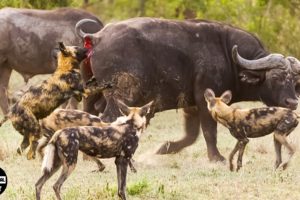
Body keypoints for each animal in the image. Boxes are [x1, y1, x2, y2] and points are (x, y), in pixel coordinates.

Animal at [75, 18, 300, 162]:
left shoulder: (189, 106)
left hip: (91, 94)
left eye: (294, 79)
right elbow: (209, 131)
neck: (228, 55)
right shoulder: (205, 100)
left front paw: (163, 149)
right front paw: (216, 157)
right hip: (122, 97)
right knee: (106, 118)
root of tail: (96, 37)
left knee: (88, 114)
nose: (292, 102)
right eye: (276, 77)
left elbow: (191, 136)